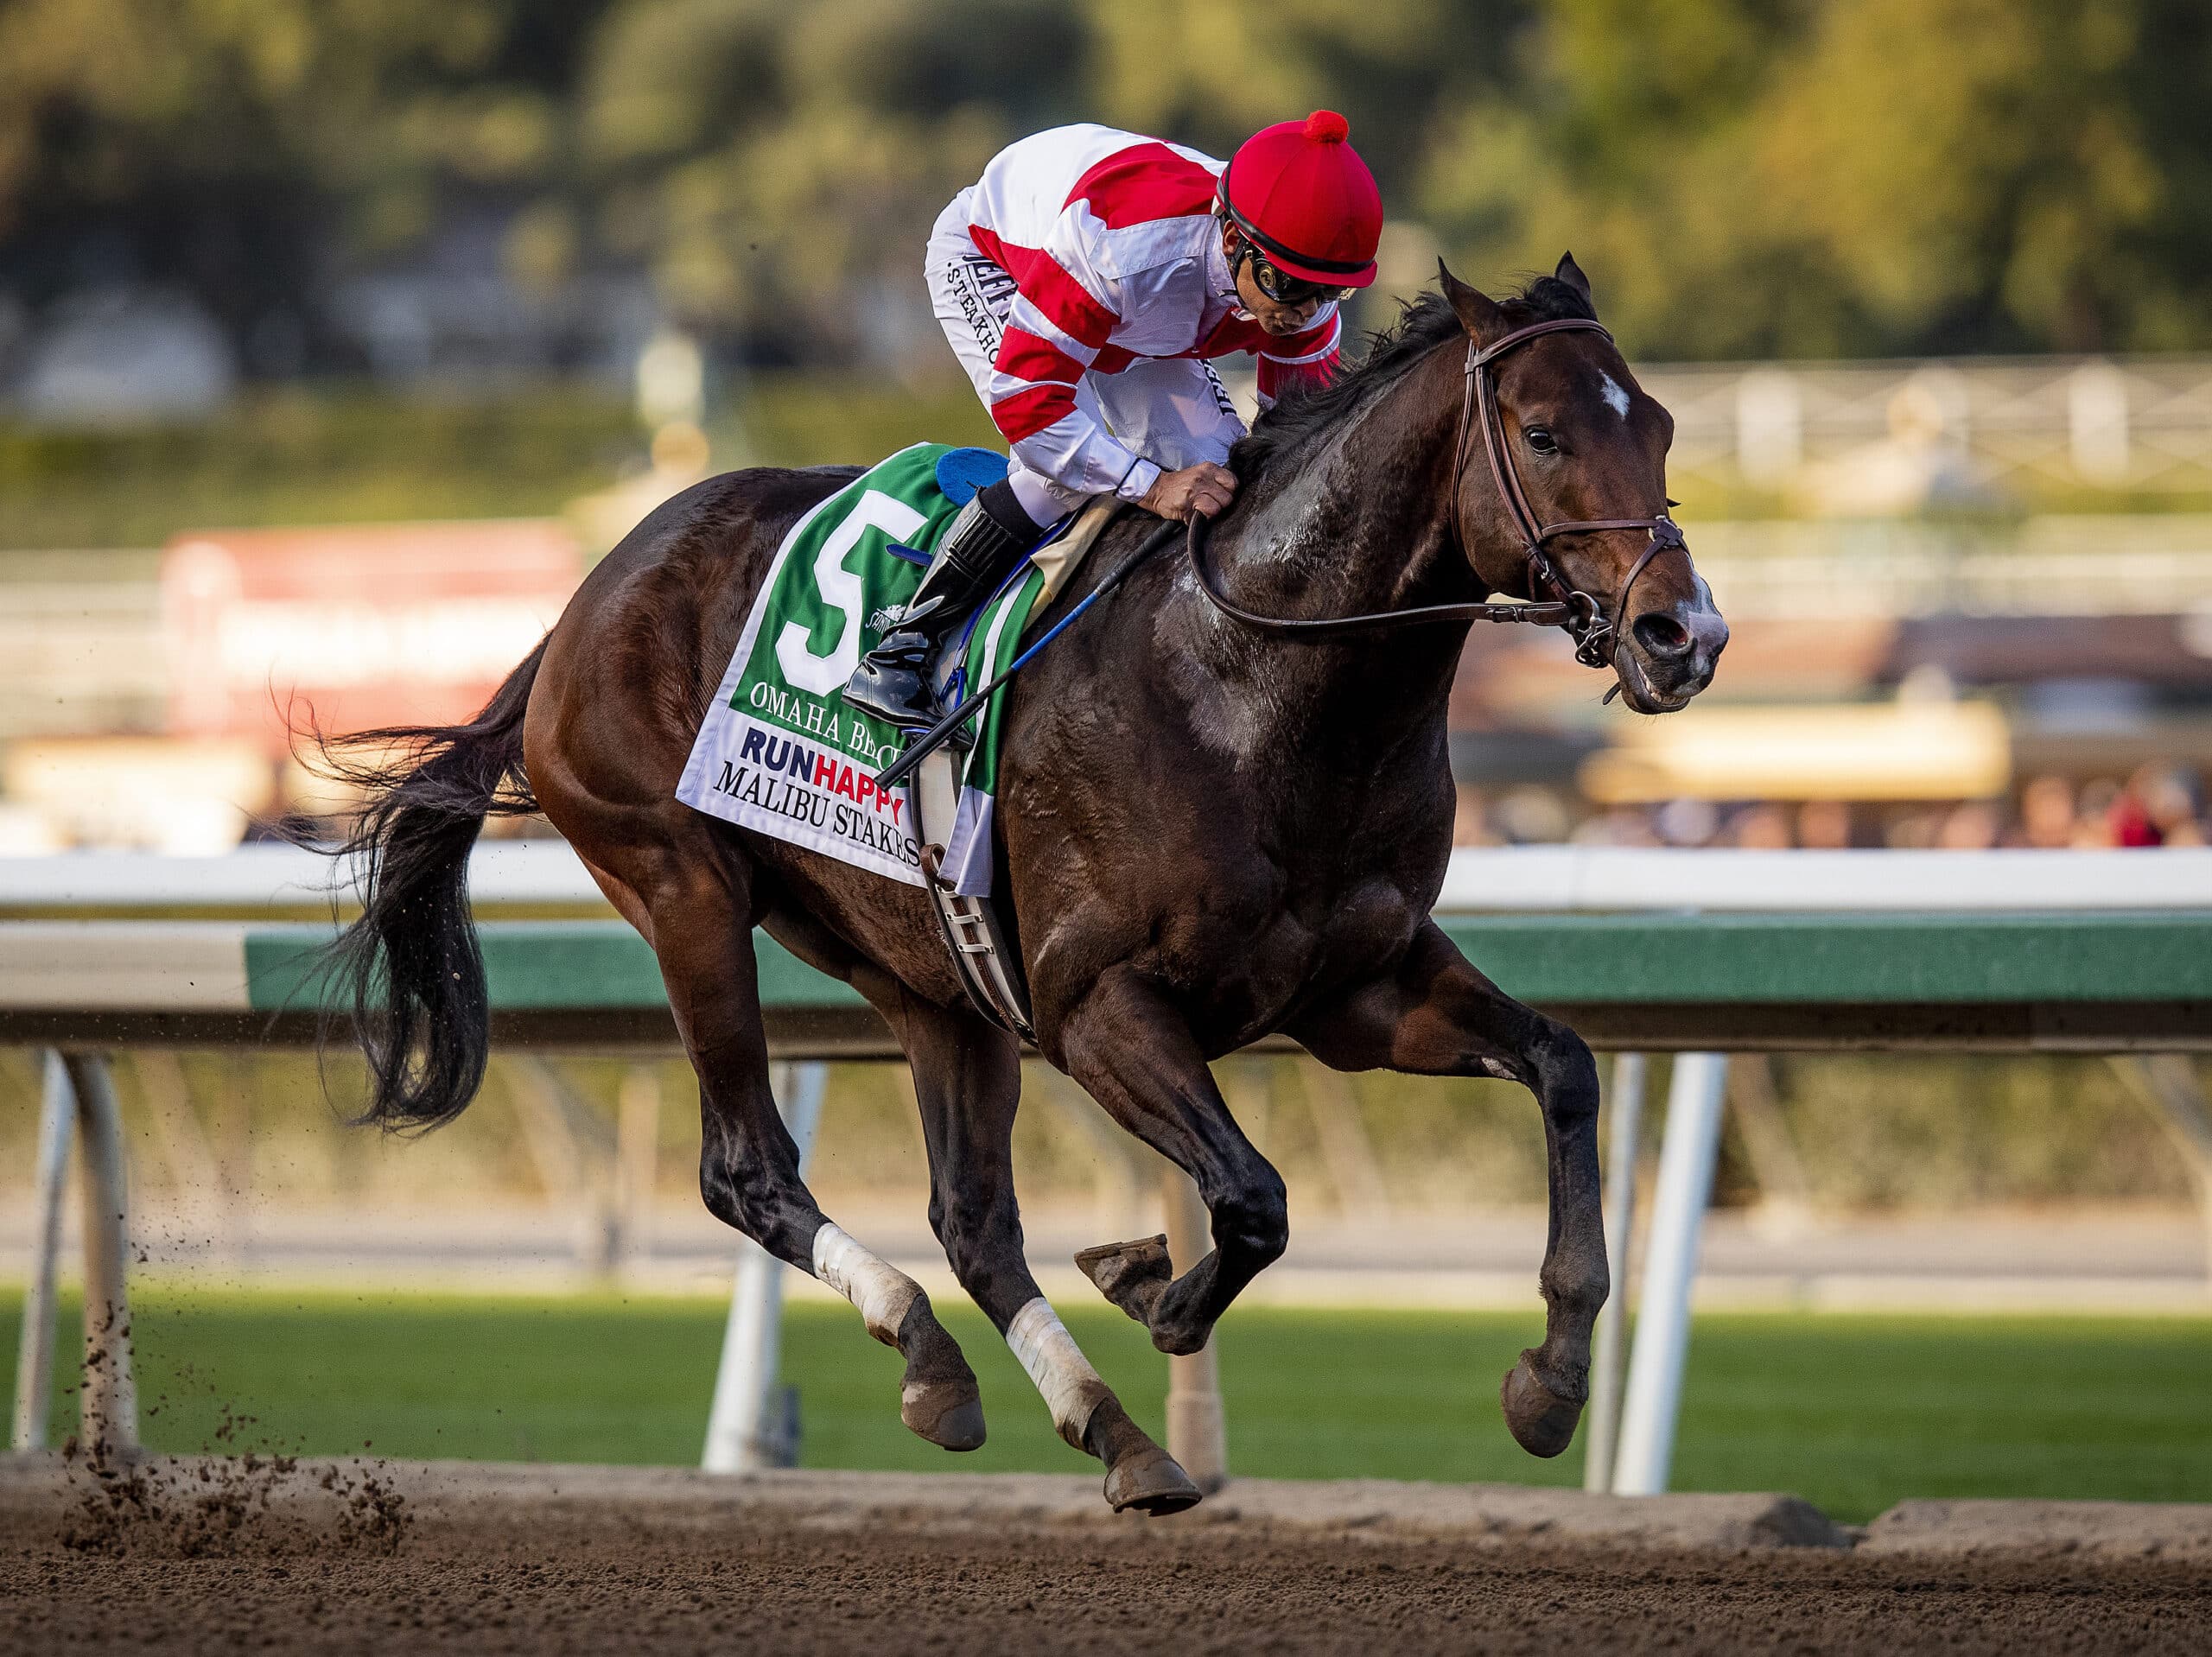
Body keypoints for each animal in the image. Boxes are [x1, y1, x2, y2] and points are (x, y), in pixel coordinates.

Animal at [321, 258, 1725, 1513]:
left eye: (1659, 425)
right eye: (1543, 432)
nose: (1684, 634)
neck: (1253, 684)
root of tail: (577, 607)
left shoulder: (1357, 987)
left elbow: (1563, 1065)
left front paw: (1551, 1378)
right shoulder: (1095, 1002)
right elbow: (1251, 1200)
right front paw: (1155, 1286)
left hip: (927, 970)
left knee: (974, 1218)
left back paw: (1096, 1428)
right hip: (684, 892)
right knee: (747, 1170)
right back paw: (931, 1343)